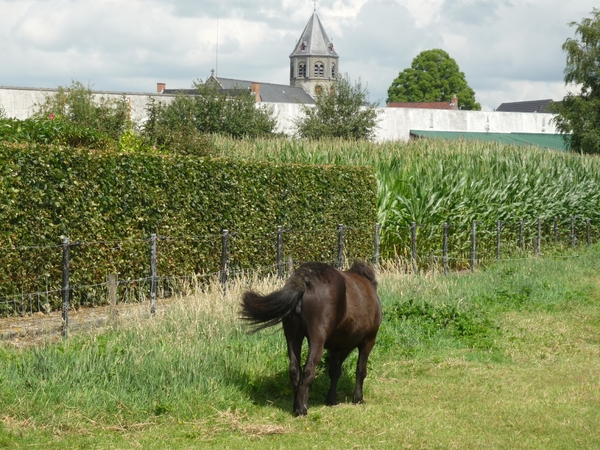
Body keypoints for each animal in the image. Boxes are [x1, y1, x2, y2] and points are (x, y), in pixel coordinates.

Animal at [239, 262, 380, 416]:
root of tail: (304, 280)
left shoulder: (335, 347)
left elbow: (334, 371)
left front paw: (331, 399)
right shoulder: (368, 340)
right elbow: (360, 370)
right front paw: (358, 398)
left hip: (292, 336)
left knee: (295, 370)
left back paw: (296, 405)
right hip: (316, 339)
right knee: (309, 369)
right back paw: (302, 408)